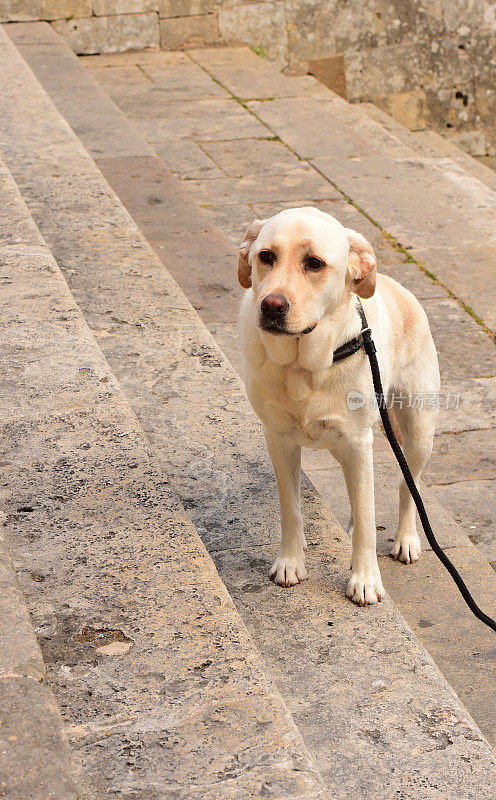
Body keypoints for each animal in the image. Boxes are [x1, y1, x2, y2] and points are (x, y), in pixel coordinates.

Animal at [238, 208, 440, 608]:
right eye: (266, 256)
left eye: (314, 263)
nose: (271, 305)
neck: (304, 367)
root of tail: (398, 288)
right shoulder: (279, 439)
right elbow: (291, 509)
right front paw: (291, 562)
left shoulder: (358, 443)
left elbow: (367, 519)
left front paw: (365, 579)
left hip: (418, 433)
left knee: (408, 484)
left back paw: (407, 539)